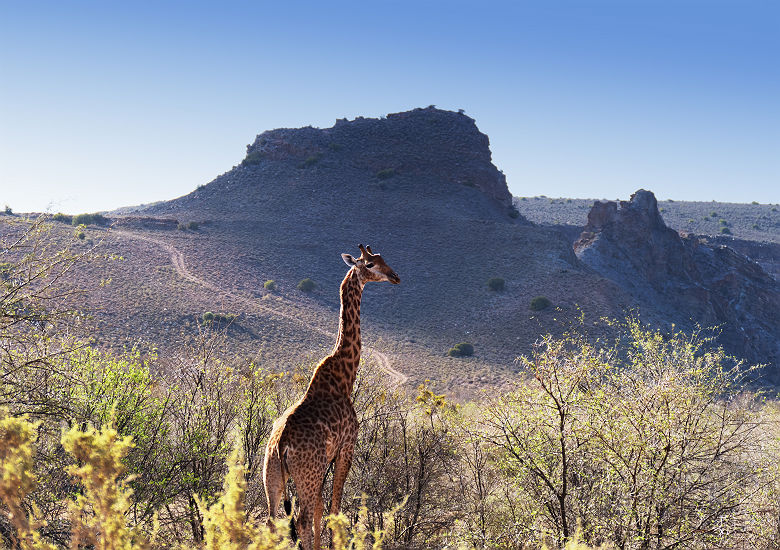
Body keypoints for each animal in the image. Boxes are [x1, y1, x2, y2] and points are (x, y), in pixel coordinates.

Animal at [262, 246, 400, 550]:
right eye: (370, 264)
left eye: (383, 259)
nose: (396, 277)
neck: (345, 376)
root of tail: (281, 445)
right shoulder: (347, 447)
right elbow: (335, 509)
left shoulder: (327, 458)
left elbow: (321, 508)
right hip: (306, 474)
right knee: (300, 519)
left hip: (272, 475)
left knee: (272, 520)